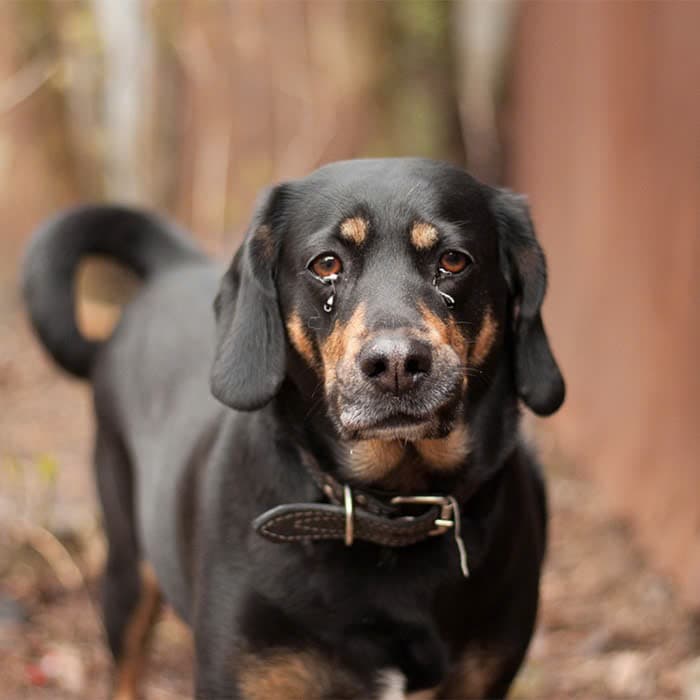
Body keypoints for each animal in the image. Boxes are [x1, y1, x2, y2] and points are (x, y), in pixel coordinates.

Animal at [23, 159, 564, 700]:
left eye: (453, 260)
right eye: (325, 265)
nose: (395, 363)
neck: (391, 514)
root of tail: (173, 267)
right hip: (126, 567)